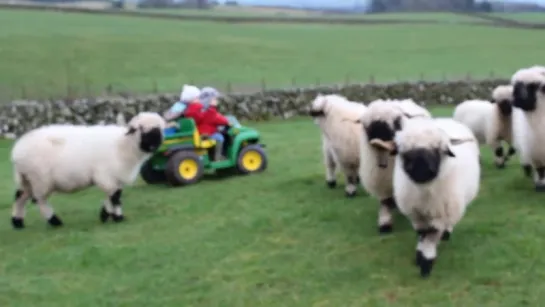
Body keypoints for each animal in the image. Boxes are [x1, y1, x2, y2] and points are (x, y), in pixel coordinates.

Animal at [9, 112, 166, 230]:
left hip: (26, 178)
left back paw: (17, 222)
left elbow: (113, 196)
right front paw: (118, 217)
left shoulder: (114, 177)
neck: (123, 145)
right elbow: (115, 198)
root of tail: (17, 151)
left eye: (159, 130)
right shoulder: (105, 175)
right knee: (40, 201)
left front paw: (105, 215)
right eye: (142, 129)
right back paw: (54, 221)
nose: (154, 146)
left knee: (20, 196)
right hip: (40, 179)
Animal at [344, 100, 430, 235]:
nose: (394, 146)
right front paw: (385, 223)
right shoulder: (381, 180)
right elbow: (385, 201)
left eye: (397, 122)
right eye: (368, 127)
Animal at [388, 117, 478, 280]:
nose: (420, 170)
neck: (425, 192)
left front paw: (426, 263)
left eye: (438, 149)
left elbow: (432, 235)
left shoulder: (442, 214)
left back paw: (446, 234)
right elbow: (423, 234)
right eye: (404, 151)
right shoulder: (416, 214)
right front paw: (420, 255)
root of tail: (444, 119)